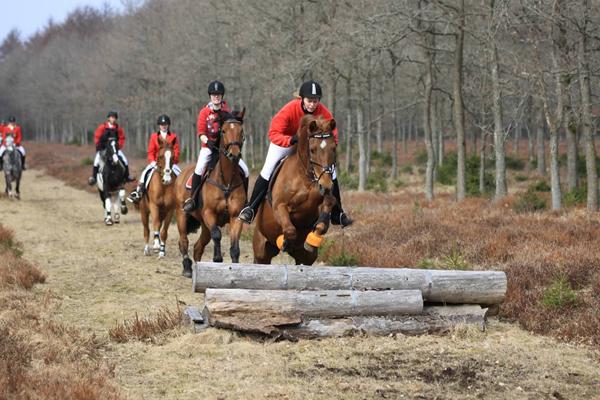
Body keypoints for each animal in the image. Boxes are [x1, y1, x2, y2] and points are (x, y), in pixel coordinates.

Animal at [175, 109, 247, 278]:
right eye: (224, 131)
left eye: (241, 131)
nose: (234, 154)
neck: (226, 181)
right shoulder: (209, 213)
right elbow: (217, 235)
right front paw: (217, 259)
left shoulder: (236, 217)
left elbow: (235, 248)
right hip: (182, 216)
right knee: (184, 242)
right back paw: (187, 268)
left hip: (204, 225)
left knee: (198, 247)